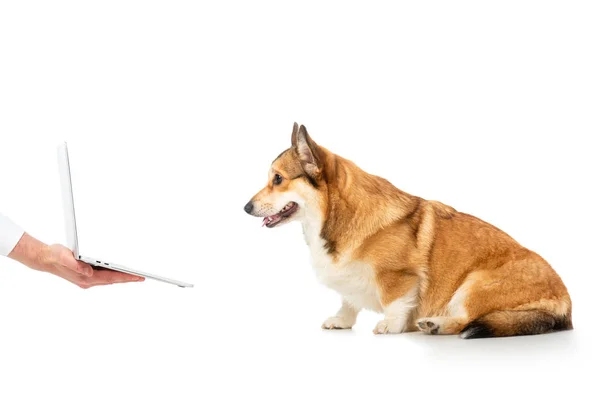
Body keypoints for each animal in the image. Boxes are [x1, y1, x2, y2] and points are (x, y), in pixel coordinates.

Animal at [244, 123, 572, 340]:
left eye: (277, 179)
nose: (246, 208)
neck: (334, 216)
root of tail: (566, 304)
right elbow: (348, 301)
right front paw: (342, 320)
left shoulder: (398, 277)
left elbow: (395, 302)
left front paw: (391, 326)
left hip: (473, 285)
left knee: (466, 320)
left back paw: (435, 325)